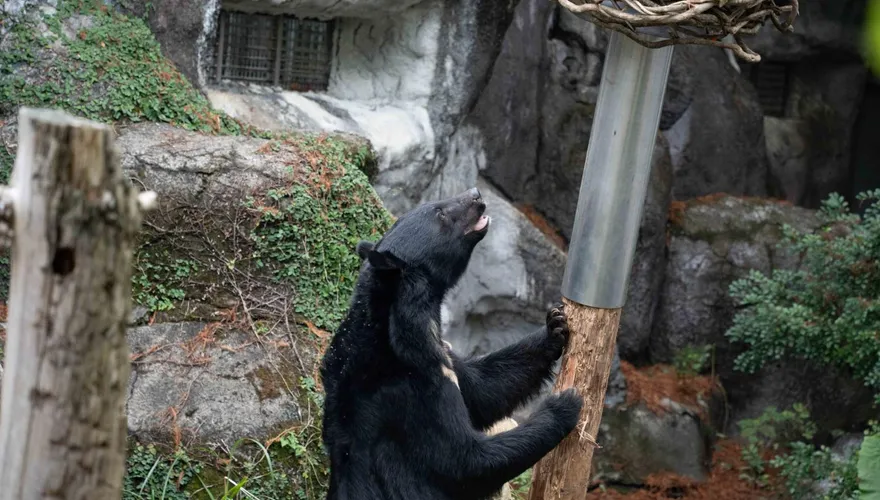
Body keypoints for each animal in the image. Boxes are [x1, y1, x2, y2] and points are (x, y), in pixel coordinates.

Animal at [319, 187, 583, 500]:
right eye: (440, 213)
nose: (476, 193)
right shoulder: (409, 391)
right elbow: (464, 462)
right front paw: (564, 404)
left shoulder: (442, 355)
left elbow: (484, 389)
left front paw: (555, 325)